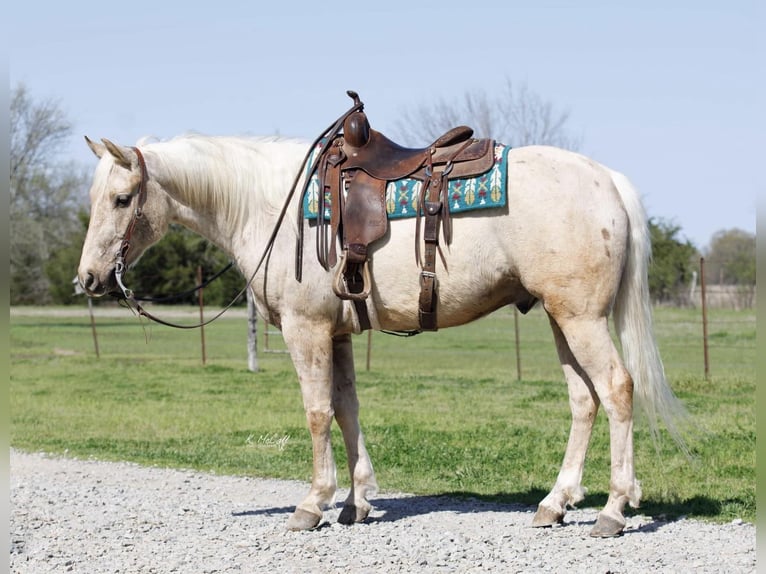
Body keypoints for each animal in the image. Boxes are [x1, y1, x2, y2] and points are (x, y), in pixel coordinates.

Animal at [79, 132, 688, 540]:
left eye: (122, 200)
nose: (88, 278)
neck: (269, 204)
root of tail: (607, 179)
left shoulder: (306, 330)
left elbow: (317, 413)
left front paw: (314, 503)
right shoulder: (339, 334)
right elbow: (347, 409)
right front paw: (357, 501)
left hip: (582, 318)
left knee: (617, 389)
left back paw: (613, 510)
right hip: (562, 319)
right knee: (584, 400)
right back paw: (555, 503)